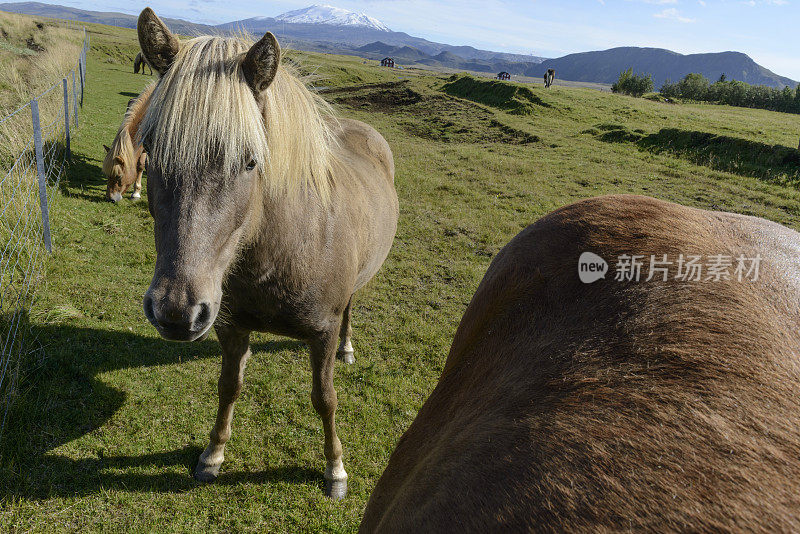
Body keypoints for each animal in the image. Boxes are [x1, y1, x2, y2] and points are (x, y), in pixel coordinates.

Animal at [138, 8, 404, 502]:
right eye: (150, 152)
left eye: (249, 161)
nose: (176, 313)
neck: (280, 254)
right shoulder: (231, 326)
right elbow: (229, 386)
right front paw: (213, 454)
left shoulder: (321, 332)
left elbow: (325, 399)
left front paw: (335, 469)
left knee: (351, 309)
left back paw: (349, 348)